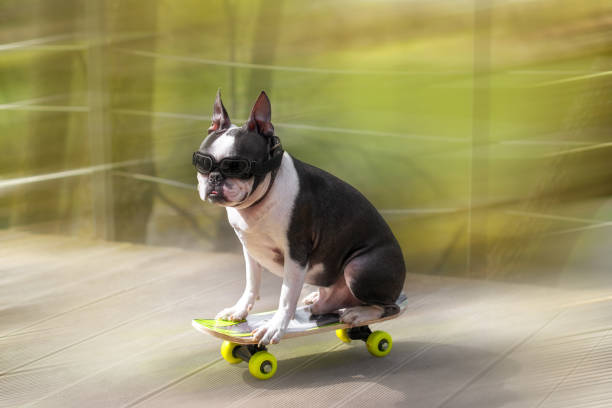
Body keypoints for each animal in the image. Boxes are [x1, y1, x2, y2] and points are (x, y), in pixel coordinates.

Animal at [195, 91, 406, 346]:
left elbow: (286, 296)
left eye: (236, 166)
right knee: (332, 300)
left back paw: (359, 313)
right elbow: (251, 283)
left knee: (388, 306)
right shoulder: (250, 249)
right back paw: (318, 299)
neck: (261, 199)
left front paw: (274, 327)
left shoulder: (295, 254)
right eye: (202, 163)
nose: (214, 178)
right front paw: (239, 310)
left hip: (360, 268)